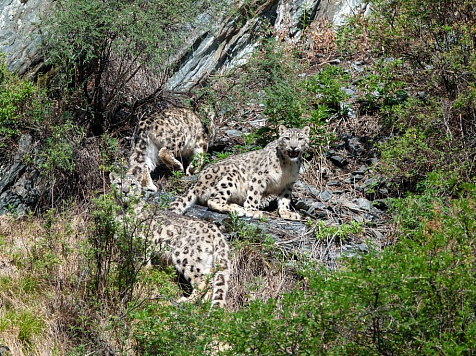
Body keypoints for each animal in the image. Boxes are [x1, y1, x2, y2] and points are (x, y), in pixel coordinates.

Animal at [109, 171, 229, 308]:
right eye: (119, 183)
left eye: (132, 184)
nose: (125, 191)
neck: (122, 211)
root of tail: (213, 228)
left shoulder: (142, 241)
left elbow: (142, 262)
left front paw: (141, 275)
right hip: (206, 261)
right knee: (210, 280)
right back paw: (203, 303)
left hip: (185, 256)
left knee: (201, 281)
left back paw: (187, 300)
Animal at [169, 125, 310, 220]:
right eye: (286, 138)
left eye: (300, 138)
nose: (293, 147)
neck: (288, 166)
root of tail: (197, 181)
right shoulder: (260, 176)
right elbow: (254, 194)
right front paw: (253, 211)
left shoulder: (288, 184)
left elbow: (285, 199)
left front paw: (287, 213)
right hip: (230, 176)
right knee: (213, 200)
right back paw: (236, 209)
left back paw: (236, 207)